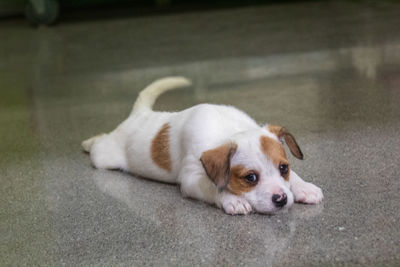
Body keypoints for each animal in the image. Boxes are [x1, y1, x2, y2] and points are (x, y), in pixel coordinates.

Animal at [83, 77, 324, 216]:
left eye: (284, 168)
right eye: (250, 178)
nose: (281, 199)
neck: (229, 130)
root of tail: (140, 114)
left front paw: (304, 187)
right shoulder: (191, 178)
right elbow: (213, 187)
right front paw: (232, 199)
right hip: (104, 157)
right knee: (100, 143)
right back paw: (89, 141)